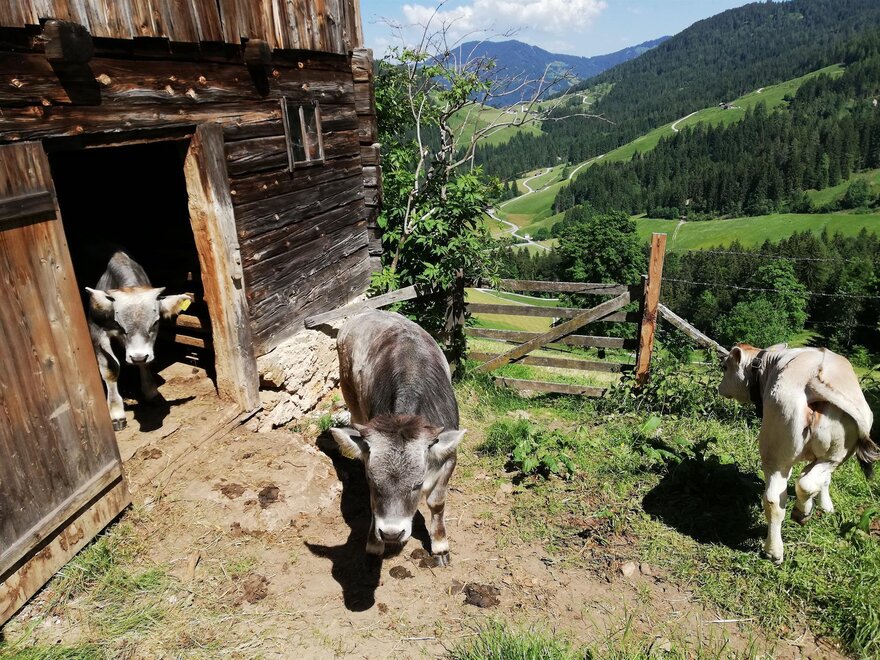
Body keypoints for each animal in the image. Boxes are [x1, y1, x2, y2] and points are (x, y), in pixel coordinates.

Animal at [85, 248, 193, 431]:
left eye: (155, 322)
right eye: (119, 324)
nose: (137, 357)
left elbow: (146, 362)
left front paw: (151, 392)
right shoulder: (96, 331)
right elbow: (110, 368)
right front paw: (116, 413)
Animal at [328, 310, 466, 567]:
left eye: (417, 484)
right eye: (373, 481)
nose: (391, 533)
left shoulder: (449, 457)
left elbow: (437, 502)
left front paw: (440, 545)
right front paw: (374, 544)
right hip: (350, 394)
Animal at [718, 342, 880, 563]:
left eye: (725, 367)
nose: (719, 388)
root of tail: (814, 377)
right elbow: (823, 481)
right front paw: (826, 507)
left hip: (776, 454)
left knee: (776, 498)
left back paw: (774, 550)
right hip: (833, 455)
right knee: (805, 483)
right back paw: (801, 514)